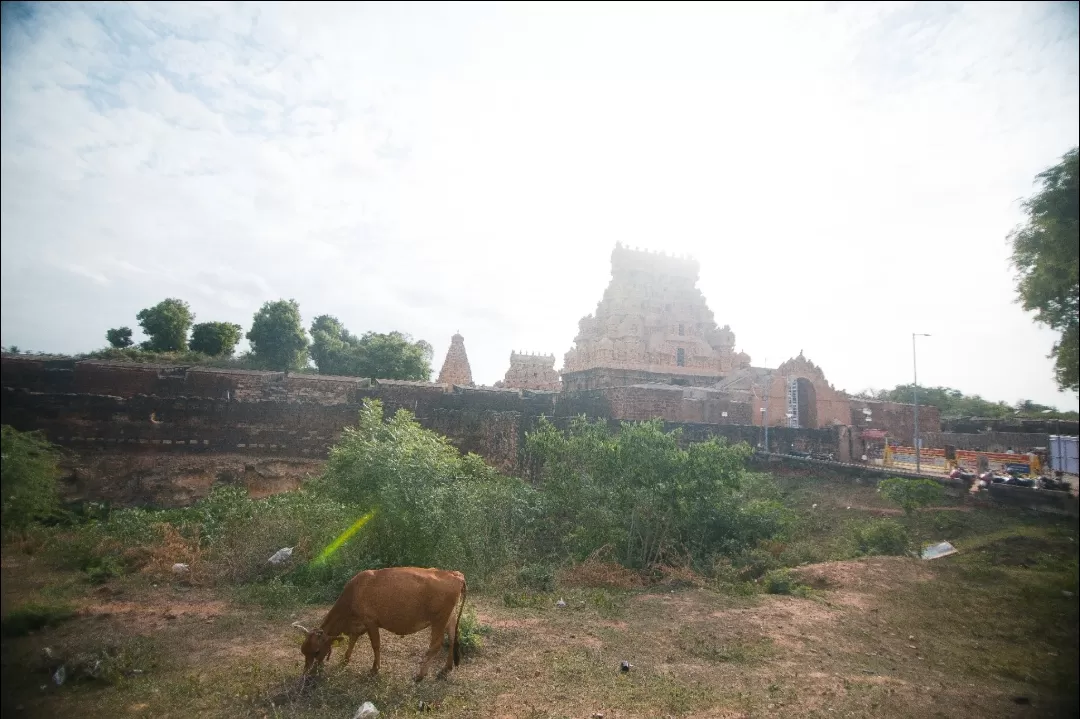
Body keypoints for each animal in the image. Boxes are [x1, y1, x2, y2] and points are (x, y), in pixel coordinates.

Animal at [293, 565, 466, 677]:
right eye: (303, 651)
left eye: (316, 651)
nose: (307, 673)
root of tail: (454, 574)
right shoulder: (358, 625)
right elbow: (352, 640)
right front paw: (345, 659)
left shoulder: (371, 622)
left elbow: (375, 645)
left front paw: (375, 668)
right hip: (450, 617)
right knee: (452, 639)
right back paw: (446, 668)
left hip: (439, 620)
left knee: (436, 645)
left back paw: (420, 675)